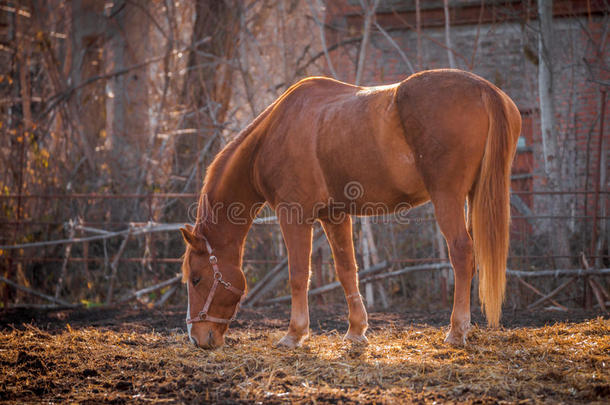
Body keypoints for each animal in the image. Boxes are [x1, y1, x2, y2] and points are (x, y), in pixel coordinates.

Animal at [180, 68, 516, 348]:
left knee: (462, 253)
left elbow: (299, 274)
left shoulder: (295, 216)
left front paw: (294, 334)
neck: (273, 133)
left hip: (447, 197)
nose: (197, 338)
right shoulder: (334, 216)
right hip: (472, 197)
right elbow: (347, 271)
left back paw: (456, 331)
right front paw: (356, 331)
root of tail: (484, 89)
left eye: (196, 278)